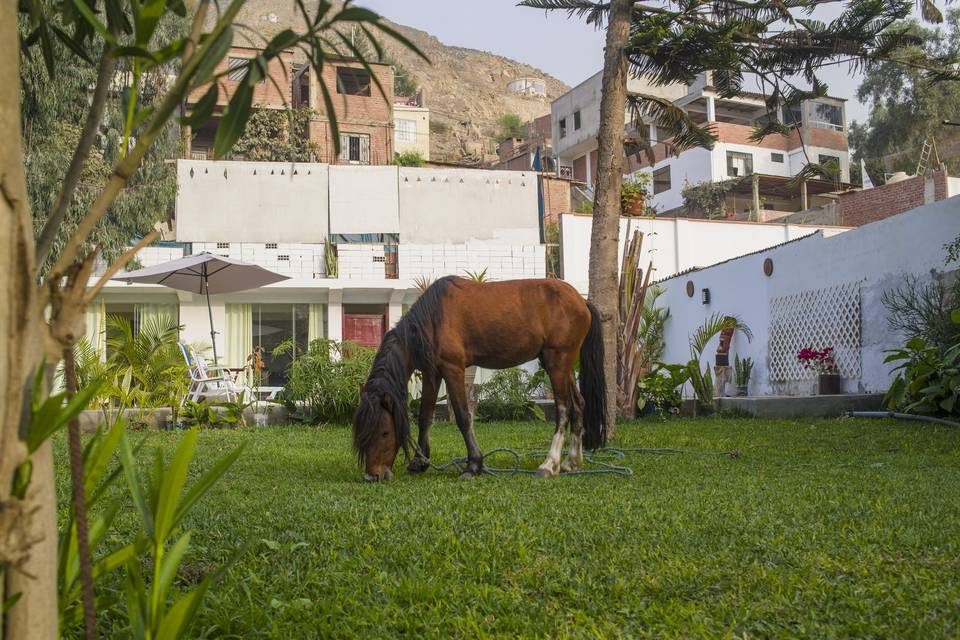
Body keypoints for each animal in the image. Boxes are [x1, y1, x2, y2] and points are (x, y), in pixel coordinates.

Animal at [352, 276, 608, 480]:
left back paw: (549, 464)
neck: (432, 319)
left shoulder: (453, 369)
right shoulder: (432, 373)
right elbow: (425, 417)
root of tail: (581, 301)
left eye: (385, 432)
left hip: (557, 362)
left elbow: (463, 417)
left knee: (564, 409)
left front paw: (473, 465)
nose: (373, 475)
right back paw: (571, 462)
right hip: (560, 366)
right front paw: (419, 462)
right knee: (578, 405)